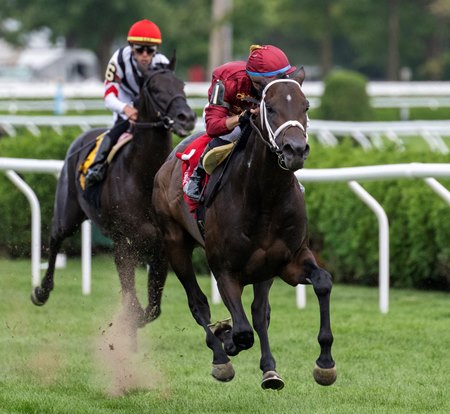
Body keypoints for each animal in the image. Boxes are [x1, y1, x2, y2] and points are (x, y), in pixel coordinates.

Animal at [29, 60, 195, 346]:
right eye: (155, 88)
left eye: (181, 84)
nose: (186, 117)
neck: (143, 175)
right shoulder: (125, 245)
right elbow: (133, 300)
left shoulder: (160, 248)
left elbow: (152, 308)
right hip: (68, 214)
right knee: (55, 239)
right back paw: (41, 291)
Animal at [153, 69, 336, 390]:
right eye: (270, 108)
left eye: (306, 106)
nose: (295, 150)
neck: (264, 197)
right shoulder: (224, 268)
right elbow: (241, 332)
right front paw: (226, 338)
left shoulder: (289, 261)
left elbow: (322, 282)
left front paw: (324, 363)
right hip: (175, 243)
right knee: (198, 303)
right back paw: (221, 358)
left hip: (264, 270)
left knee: (260, 313)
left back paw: (270, 370)